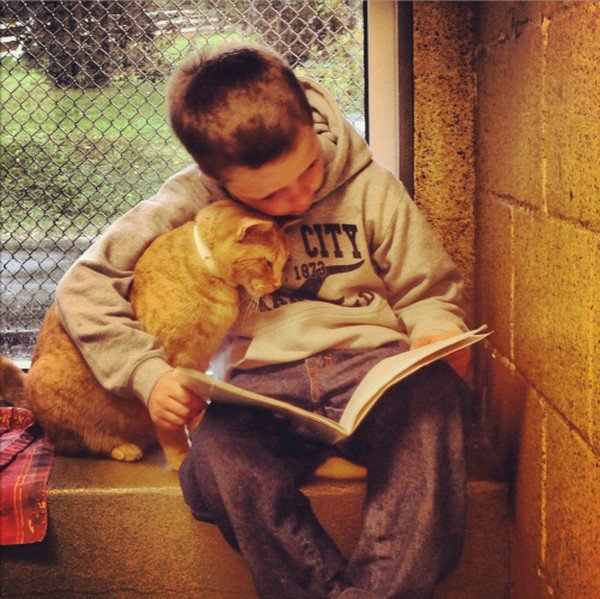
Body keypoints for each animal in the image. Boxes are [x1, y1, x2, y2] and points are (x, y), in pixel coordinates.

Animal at [18, 204, 288, 472]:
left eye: (283, 265)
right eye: (267, 263)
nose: (278, 284)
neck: (208, 270)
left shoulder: (198, 363)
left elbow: (196, 403)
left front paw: (197, 425)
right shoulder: (175, 363)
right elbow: (171, 423)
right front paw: (181, 456)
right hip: (47, 385)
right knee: (82, 442)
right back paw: (123, 447)